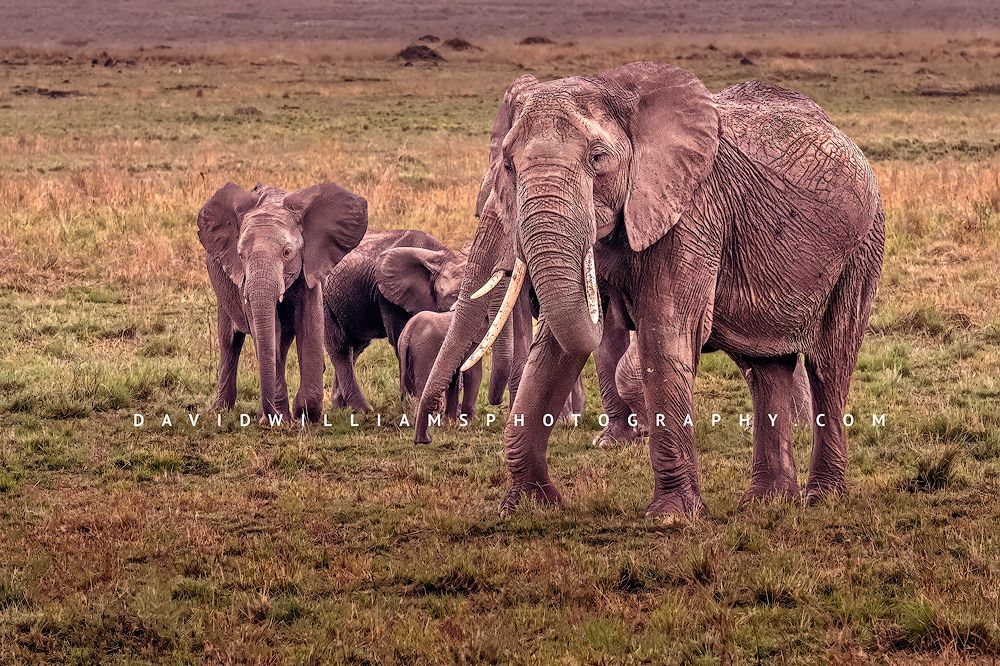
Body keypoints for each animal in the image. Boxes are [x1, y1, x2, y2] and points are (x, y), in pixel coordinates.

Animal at [198, 182, 368, 424]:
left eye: (287, 252)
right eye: (240, 255)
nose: (265, 420)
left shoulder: (310, 266)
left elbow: (310, 324)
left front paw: (305, 413)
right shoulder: (242, 281)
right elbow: (269, 334)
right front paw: (282, 419)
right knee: (230, 342)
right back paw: (220, 411)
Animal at [321, 229, 512, 413]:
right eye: (453, 296)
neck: (440, 255)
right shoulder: (388, 297)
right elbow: (399, 337)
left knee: (356, 347)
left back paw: (341, 407)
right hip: (324, 299)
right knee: (341, 348)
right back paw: (363, 411)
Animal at [451, 62, 884, 519]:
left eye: (597, 158)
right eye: (509, 165)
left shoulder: (693, 214)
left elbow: (664, 338)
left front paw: (671, 517)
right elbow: (553, 353)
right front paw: (524, 507)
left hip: (862, 246)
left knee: (829, 365)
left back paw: (822, 497)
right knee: (766, 369)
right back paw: (767, 501)